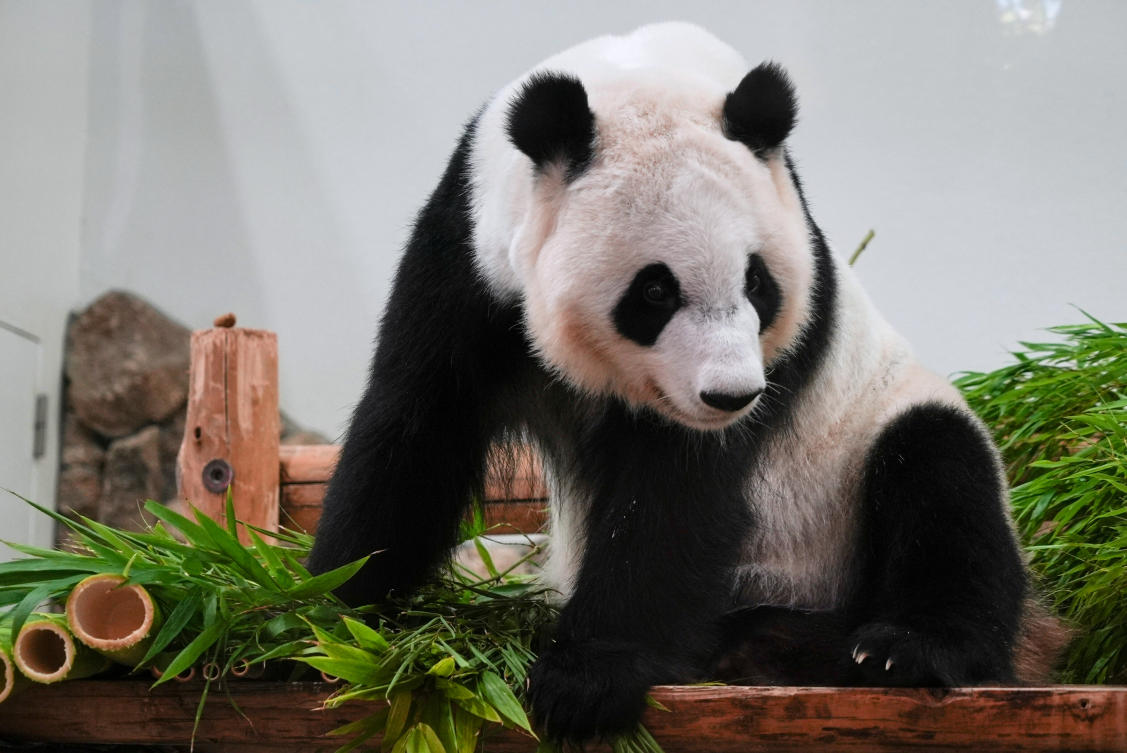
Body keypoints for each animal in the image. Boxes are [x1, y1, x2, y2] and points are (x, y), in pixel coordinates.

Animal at [308, 22, 1064, 742]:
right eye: (654, 292)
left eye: (757, 283)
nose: (731, 395)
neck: (642, 72)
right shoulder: (467, 254)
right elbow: (417, 425)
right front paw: (322, 619)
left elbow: (674, 494)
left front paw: (586, 681)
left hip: (860, 463)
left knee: (943, 480)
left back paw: (882, 649)